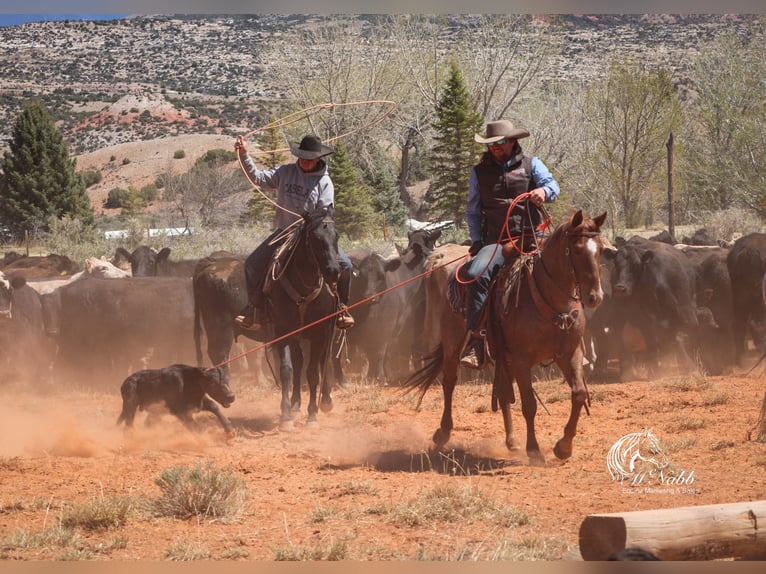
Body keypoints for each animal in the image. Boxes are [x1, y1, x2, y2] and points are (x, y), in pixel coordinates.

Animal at [404, 210, 608, 468]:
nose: (595, 297)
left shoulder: (570, 353)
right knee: (449, 381)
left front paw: (563, 447)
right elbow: (529, 404)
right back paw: (443, 432)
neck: (549, 302)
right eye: (578, 249)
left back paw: (512, 442)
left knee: (501, 392)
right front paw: (535, 451)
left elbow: (579, 394)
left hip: (501, 355)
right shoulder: (522, 360)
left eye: (600, 249)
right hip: (452, 343)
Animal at [728, 231, 766, 362]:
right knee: (758, 323)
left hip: (739, 295)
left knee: (739, 324)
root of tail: (746, 250)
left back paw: (741, 359)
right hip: (757, 294)